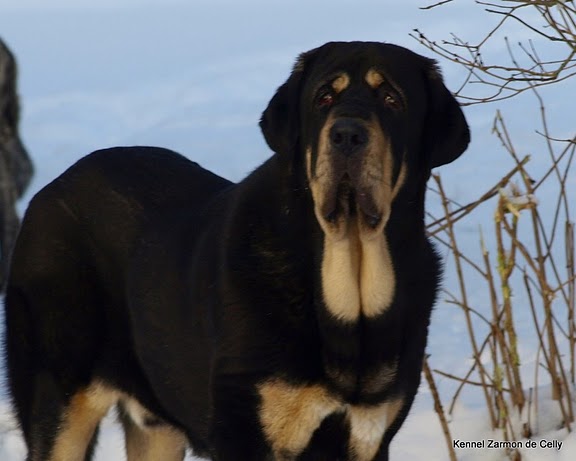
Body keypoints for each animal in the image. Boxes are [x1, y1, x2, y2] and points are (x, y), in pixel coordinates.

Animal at [4, 41, 470, 458]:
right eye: (324, 98)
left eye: (392, 99)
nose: (347, 134)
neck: (345, 300)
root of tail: (50, 191)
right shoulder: (245, 429)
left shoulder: (369, 436)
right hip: (59, 402)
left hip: (157, 425)